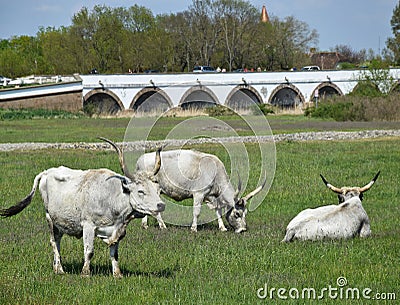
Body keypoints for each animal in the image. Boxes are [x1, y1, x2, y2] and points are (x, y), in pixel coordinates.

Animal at [0, 148, 164, 276]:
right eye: (141, 191)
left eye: (156, 188)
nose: (161, 205)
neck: (112, 197)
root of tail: (47, 172)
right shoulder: (88, 226)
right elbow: (89, 251)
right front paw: (85, 272)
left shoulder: (117, 229)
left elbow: (114, 253)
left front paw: (117, 274)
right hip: (49, 218)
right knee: (54, 243)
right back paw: (60, 270)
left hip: (59, 223)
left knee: (57, 242)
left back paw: (56, 267)